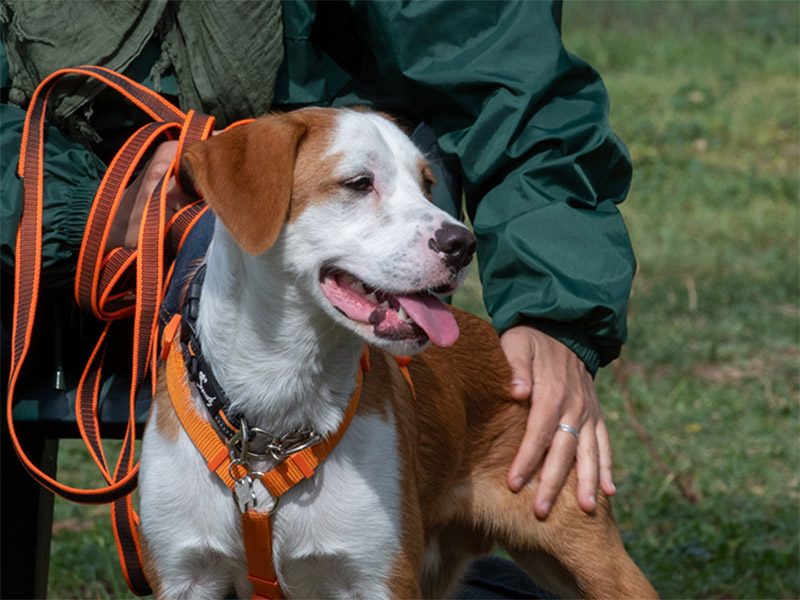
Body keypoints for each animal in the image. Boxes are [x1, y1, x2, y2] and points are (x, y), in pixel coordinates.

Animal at [139, 109, 656, 600]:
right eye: (358, 183)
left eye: (427, 185)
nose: (463, 244)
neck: (277, 413)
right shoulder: (185, 575)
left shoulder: (380, 577)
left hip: (592, 560)